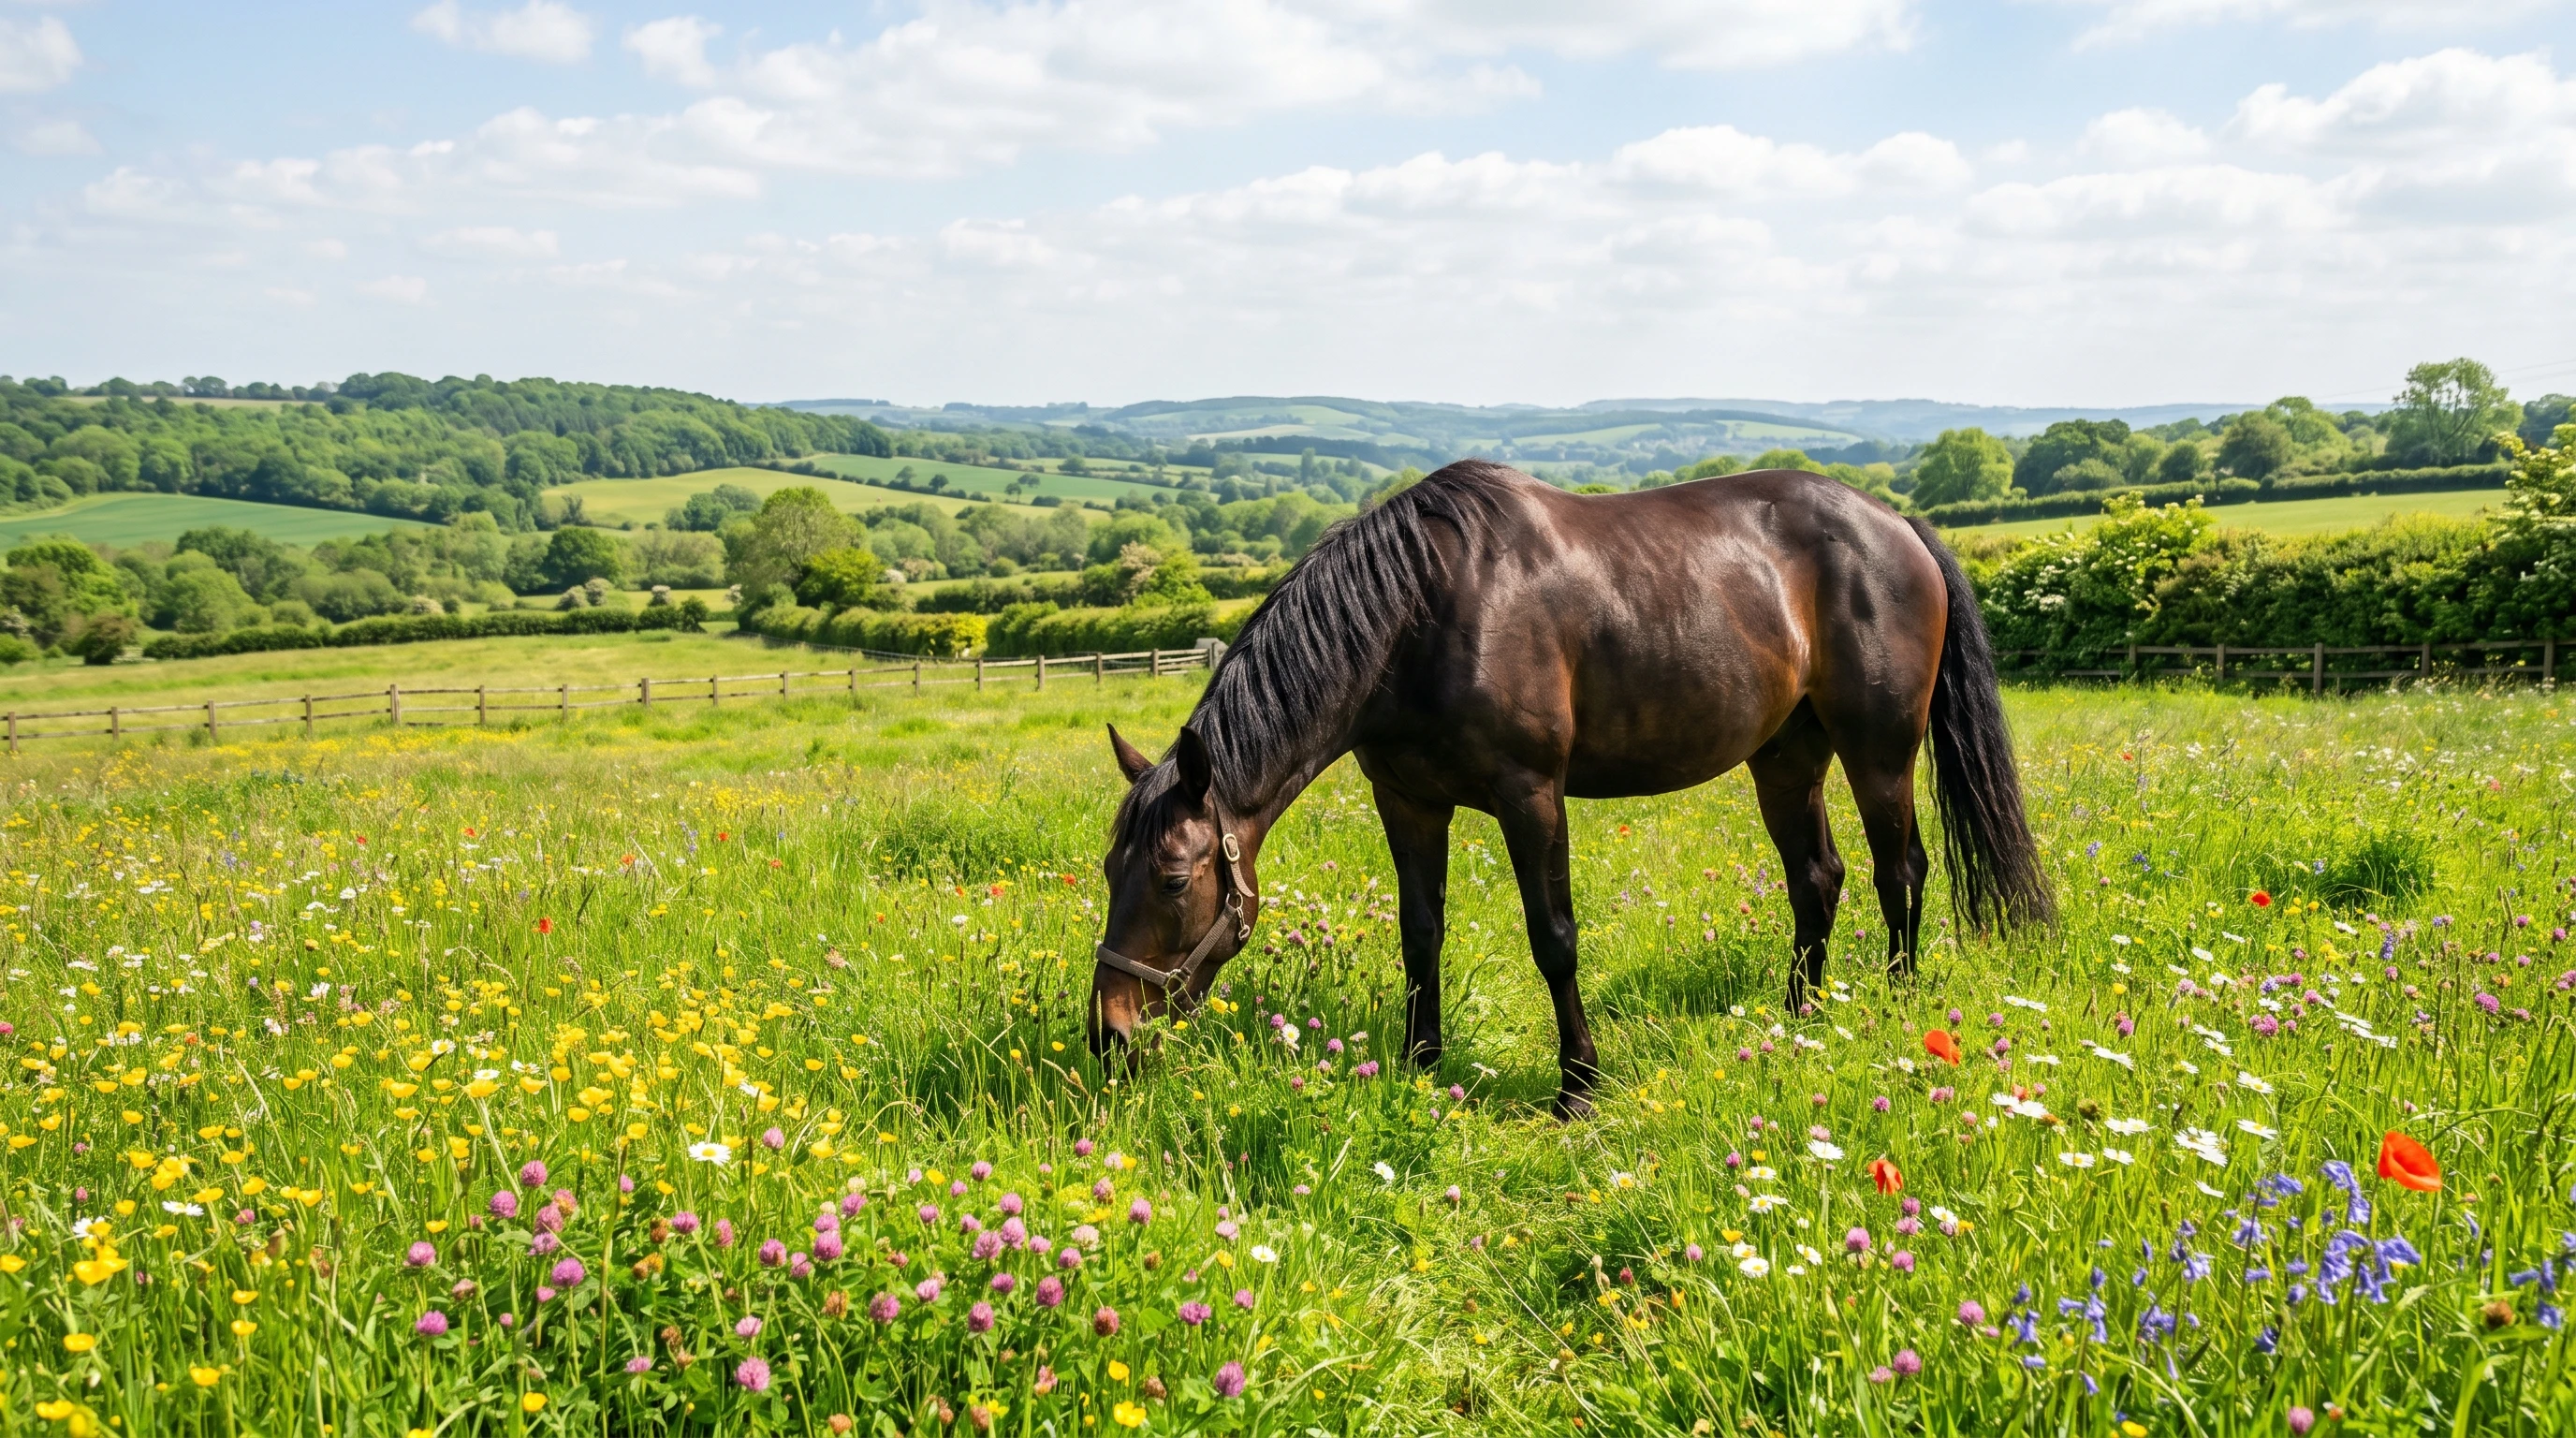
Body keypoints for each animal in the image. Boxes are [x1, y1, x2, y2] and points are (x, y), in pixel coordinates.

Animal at [1088, 459, 2052, 1117]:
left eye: (1172, 880)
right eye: (1107, 871)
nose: (1109, 1034)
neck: (1422, 614)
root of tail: (1896, 524)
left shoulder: (1531, 797)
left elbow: (1554, 939)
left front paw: (1579, 1086)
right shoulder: (1407, 801)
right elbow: (1420, 935)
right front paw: (1420, 1066)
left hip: (1879, 751)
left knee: (1902, 871)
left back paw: (1894, 1003)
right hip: (1785, 756)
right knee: (1817, 878)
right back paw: (1799, 1018)